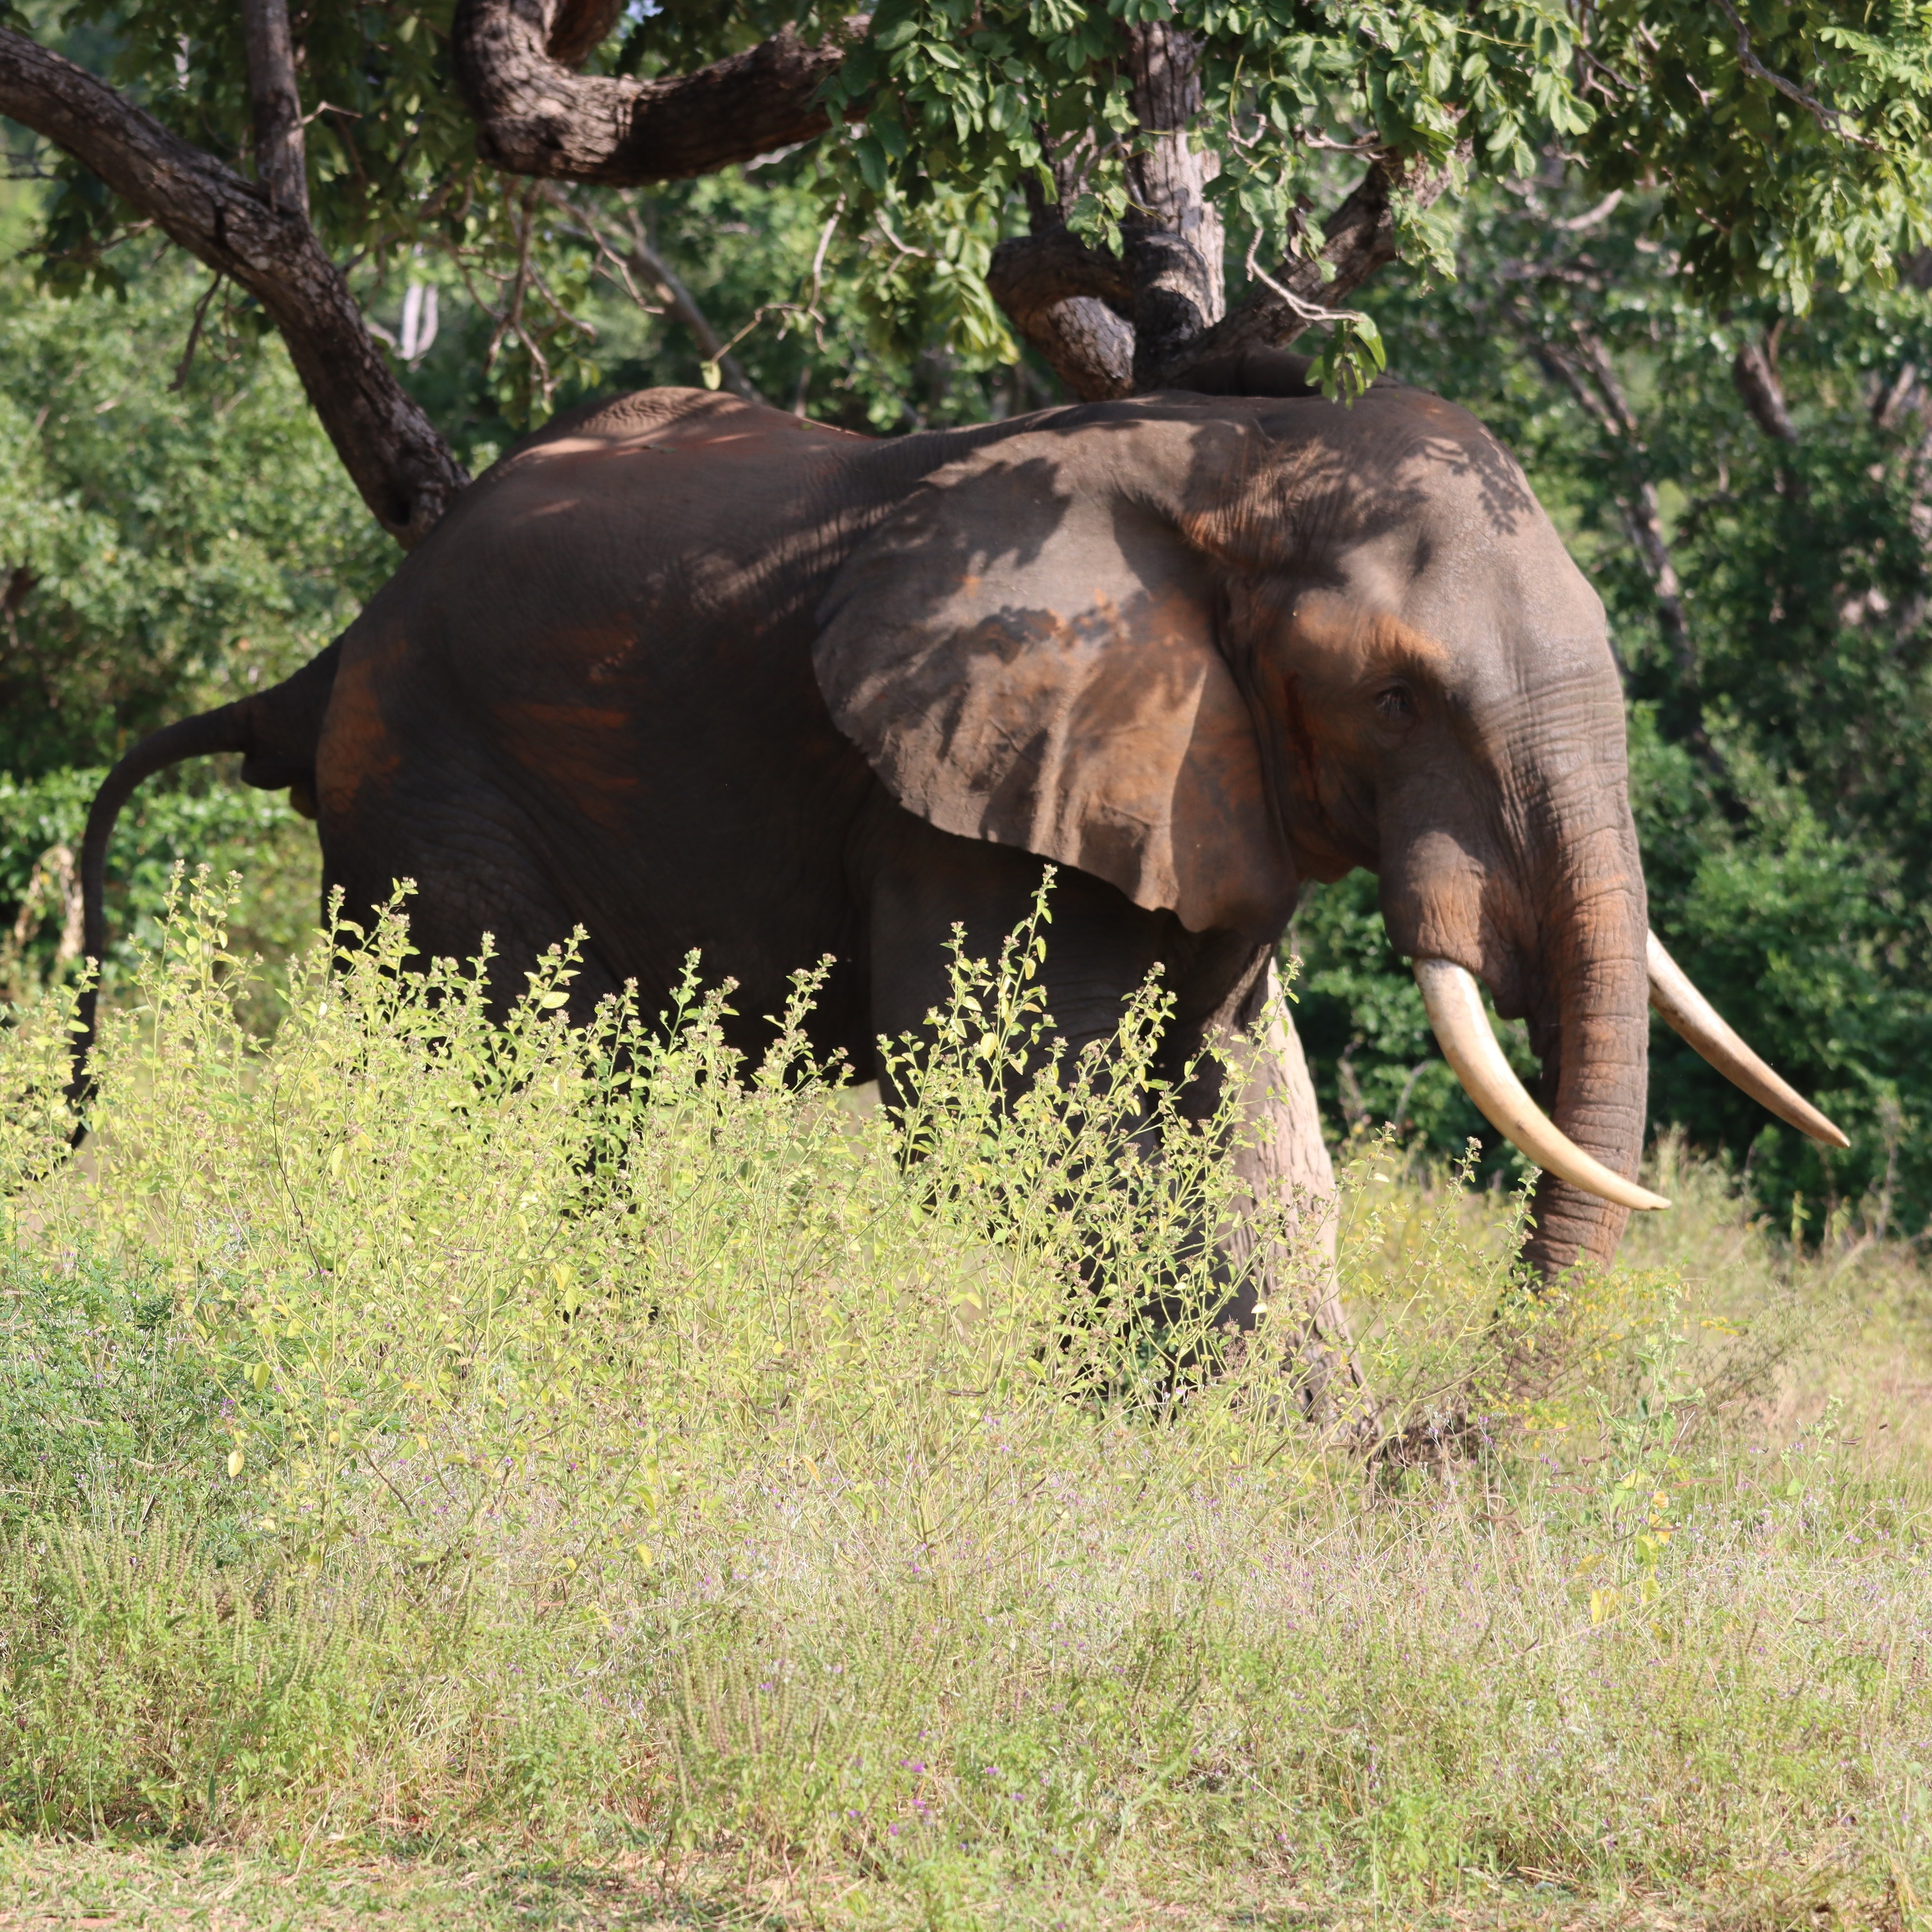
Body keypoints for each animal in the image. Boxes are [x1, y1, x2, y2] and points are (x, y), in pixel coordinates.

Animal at [77, 351, 1843, 1407]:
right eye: (1398, 697)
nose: (1441, 1451)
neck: (1239, 452)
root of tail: (333, 654)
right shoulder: (953, 783)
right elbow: (1019, 1109)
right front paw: (1223, 1439)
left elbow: (1220, 1121)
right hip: (435, 783)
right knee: (501, 1071)